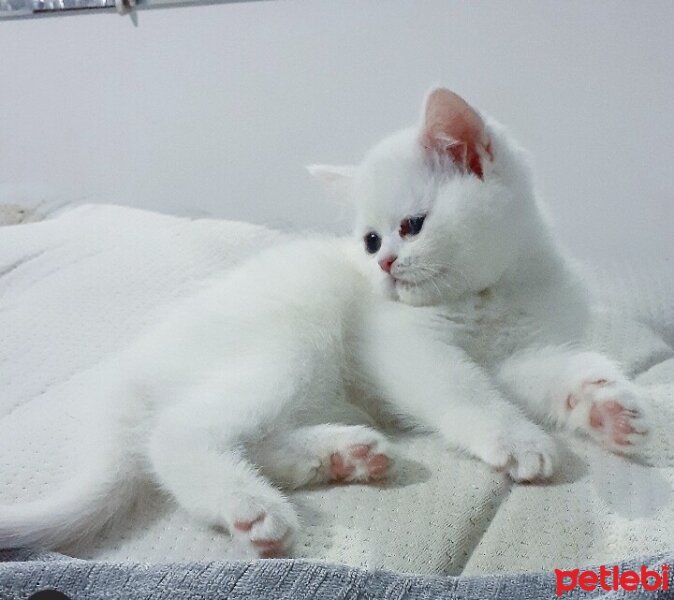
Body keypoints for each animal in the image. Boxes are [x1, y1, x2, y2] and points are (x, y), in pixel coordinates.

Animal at [0, 88, 644, 556]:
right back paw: (250, 506)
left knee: (246, 436)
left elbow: (553, 371)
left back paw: (340, 455)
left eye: (410, 226)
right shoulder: (403, 346)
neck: (491, 292)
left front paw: (605, 406)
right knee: (177, 433)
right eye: (370, 240)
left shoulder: (522, 349)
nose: (383, 265)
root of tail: (128, 377)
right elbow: (464, 391)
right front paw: (515, 439)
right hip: (290, 344)